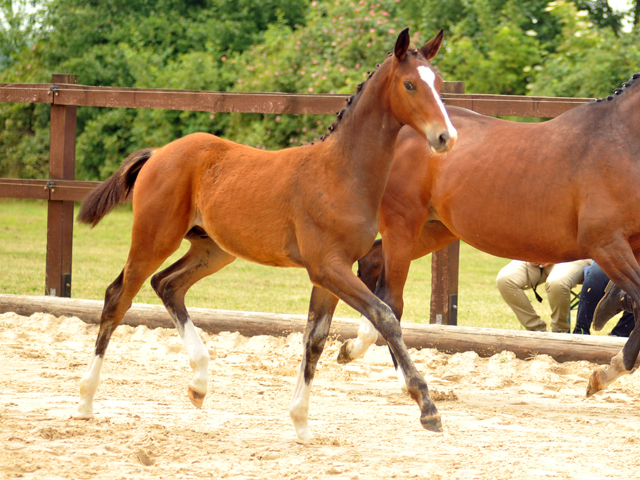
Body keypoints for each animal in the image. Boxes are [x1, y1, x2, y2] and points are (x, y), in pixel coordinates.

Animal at [74, 29, 456, 442]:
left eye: (438, 83)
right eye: (410, 84)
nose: (445, 137)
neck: (342, 173)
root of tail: (159, 153)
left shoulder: (330, 272)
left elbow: (315, 337)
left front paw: (301, 421)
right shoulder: (327, 266)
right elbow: (385, 316)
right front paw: (427, 407)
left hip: (213, 249)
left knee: (167, 284)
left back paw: (199, 383)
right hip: (155, 238)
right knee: (118, 297)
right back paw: (85, 401)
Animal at [342, 75, 640, 396]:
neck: (623, 142)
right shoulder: (607, 244)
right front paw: (604, 374)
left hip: (432, 229)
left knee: (373, 266)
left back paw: (354, 348)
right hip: (403, 224)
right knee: (391, 299)